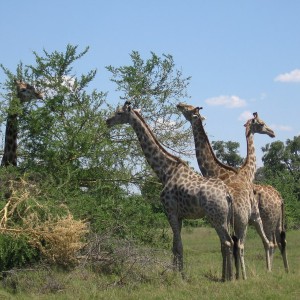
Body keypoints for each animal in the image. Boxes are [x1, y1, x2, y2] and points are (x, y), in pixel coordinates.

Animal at [106, 101, 236, 282]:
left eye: (119, 113)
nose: (107, 121)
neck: (165, 171)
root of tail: (227, 195)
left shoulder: (170, 211)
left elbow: (179, 246)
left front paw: (181, 277)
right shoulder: (179, 215)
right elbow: (174, 245)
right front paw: (174, 273)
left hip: (216, 217)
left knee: (227, 242)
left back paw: (228, 278)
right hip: (224, 218)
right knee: (227, 243)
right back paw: (226, 276)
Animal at [177, 102, 274, 278]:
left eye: (188, 108)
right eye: (262, 123)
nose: (272, 132)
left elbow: (226, 246)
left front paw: (229, 275)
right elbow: (225, 246)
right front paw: (229, 275)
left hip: (251, 217)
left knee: (263, 242)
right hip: (246, 218)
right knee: (255, 243)